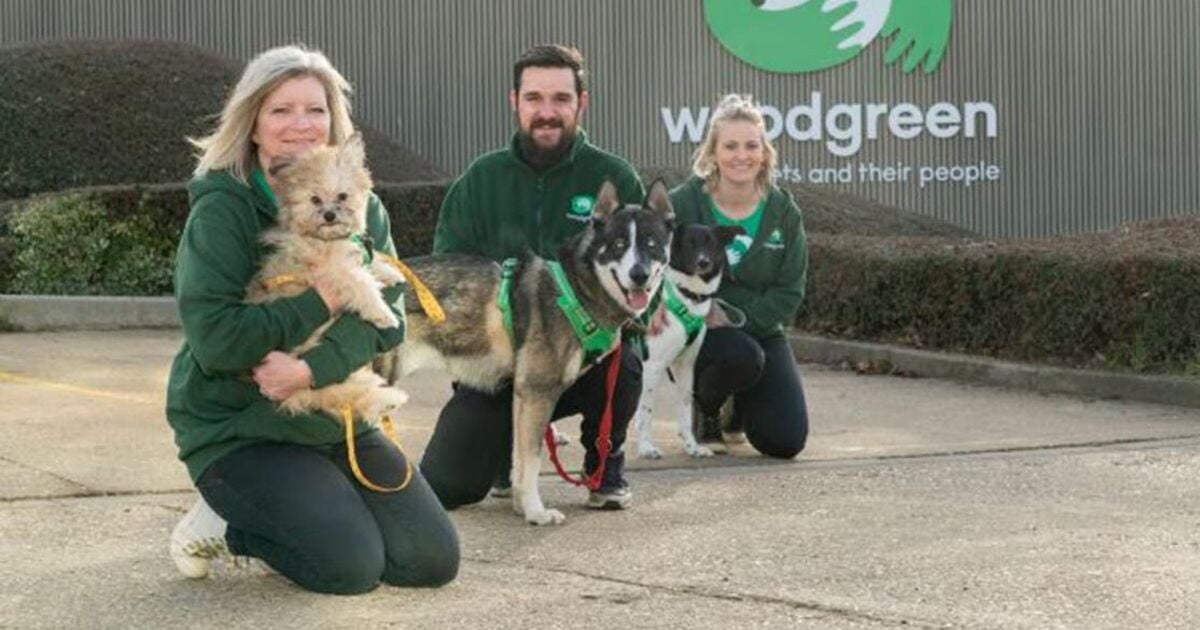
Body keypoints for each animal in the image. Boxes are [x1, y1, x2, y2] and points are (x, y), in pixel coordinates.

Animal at [246, 135, 410, 424]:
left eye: (342, 196)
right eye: (314, 199)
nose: (330, 215)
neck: (325, 239)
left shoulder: (352, 256)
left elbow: (371, 263)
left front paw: (391, 273)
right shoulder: (335, 272)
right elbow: (362, 285)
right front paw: (381, 313)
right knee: (343, 395)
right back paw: (386, 399)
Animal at [638, 223, 739, 458]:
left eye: (711, 243)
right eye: (689, 243)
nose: (704, 262)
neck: (687, 295)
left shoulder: (685, 365)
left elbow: (684, 406)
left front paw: (692, 446)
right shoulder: (652, 365)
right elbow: (647, 410)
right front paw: (646, 446)